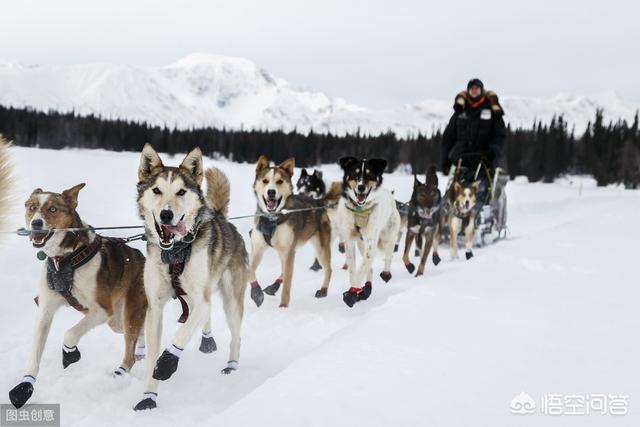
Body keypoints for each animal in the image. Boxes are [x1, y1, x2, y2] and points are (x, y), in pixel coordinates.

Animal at [7, 185, 148, 412]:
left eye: (53, 209)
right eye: (32, 208)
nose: (36, 223)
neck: (64, 260)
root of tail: (142, 258)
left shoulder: (101, 310)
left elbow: (70, 334)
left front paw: (70, 354)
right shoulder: (45, 311)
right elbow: (34, 354)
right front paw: (24, 387)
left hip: (125, 314)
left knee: (130, 351)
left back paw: (120, 372)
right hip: (116, 321)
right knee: (139, 332)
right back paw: (142, 350)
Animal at [132, 145, 248, 412]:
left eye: (181, 191)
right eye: (157, 190)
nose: (166, 214)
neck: (175, 252)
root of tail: (222, 219)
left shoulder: (203, 300)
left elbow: (181, 334)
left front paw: (167, 362)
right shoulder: (155, 307)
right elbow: (152, 354)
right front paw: (148, 396)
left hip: (231, 301)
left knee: (236, 335)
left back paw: (232, 365)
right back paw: (208, 340)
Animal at [249, 155, 336, 310]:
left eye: (279, 181)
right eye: (265, 181)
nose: (271, 192)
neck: (272, 219)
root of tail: (319, 203)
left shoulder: (289, 251)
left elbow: (287, 285)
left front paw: (283, 306)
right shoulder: (258, 249)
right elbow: (250, 270)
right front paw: (256, 293)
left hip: (320, 248)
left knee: (328, 269)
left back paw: (323, 290)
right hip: (284, 251)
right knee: (284, 270)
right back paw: (273, 286)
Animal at [336, 157, 400, 308]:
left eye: (369, 174)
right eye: (354, 174)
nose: (361, 187)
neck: (360, 209)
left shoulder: (371, 240)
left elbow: (363, 267)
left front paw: (353, 291)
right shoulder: (349, 240)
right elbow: (353, 269)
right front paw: (354, 289)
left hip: (388, 235)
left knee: (387, 255)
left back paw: (386, 273)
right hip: (361, 244)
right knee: (369, 267)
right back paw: (366, 288)